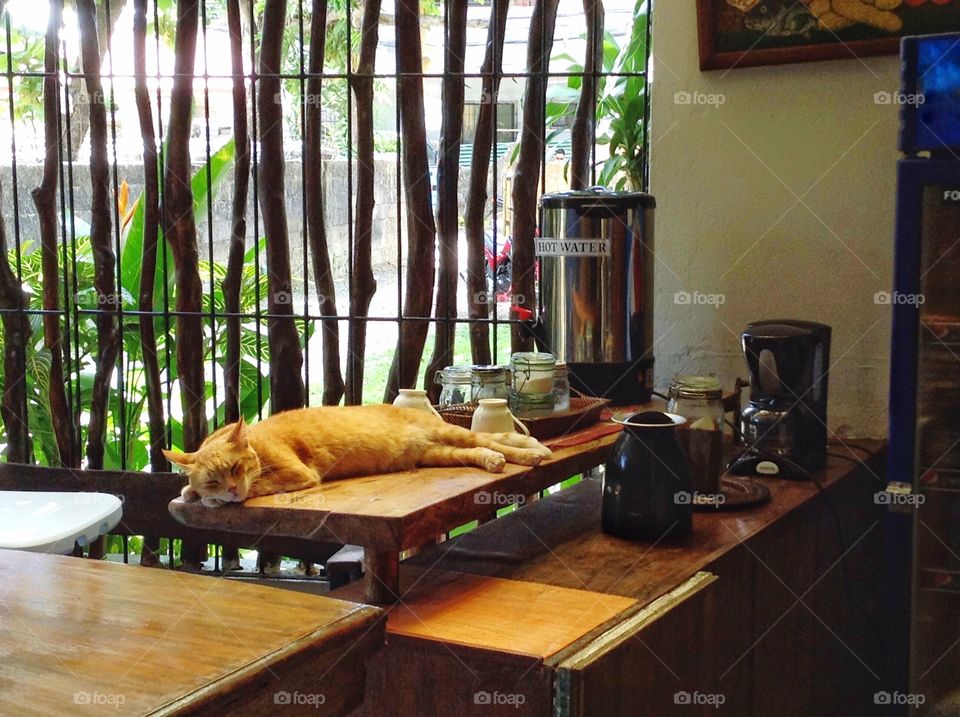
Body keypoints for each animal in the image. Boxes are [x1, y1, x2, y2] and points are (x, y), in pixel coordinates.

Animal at [166, 406, 556, 506]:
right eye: (214, 479)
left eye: (235, 467)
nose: (229, 489)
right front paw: (193, 492)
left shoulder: (299, 474)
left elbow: (260, 486)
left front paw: (214, 500)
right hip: (438, 453)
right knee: (481, 449)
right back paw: (491, 461)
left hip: (452, 434)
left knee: (497, 440)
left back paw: (531, 455)